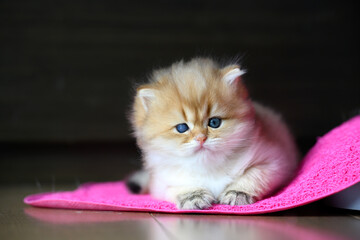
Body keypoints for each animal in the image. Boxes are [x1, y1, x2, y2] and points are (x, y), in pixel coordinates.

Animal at [127, 57, 298, 209]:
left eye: (214, 122)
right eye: (182, 128)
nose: (201, 138)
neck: (208, 166)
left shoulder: (275, 162)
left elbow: (253, 176)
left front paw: (237, 193)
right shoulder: (160, 183)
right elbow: (177, 188)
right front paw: (193, 197)